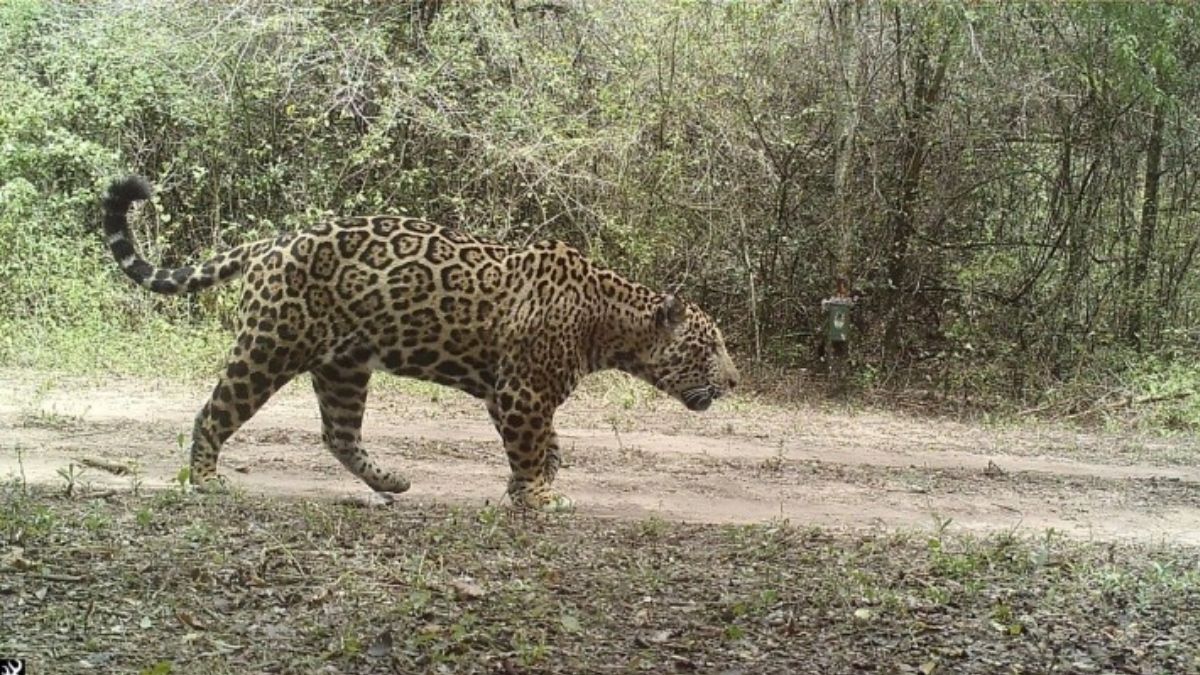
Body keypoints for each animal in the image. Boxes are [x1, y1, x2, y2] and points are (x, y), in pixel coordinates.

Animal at [101, 176, 739, 511]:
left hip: (344, 366)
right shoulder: (522, 393)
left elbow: (548, 447)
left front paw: (528, 488)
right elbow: (534, 447)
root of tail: (269, 243)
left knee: (339, 433)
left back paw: (390, 482)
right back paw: (207, 479)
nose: (735, 382)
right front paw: (537, 495)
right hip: (270, 345)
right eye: (709, 347)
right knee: (214, 411)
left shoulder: (515, 393)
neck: (609, 321)